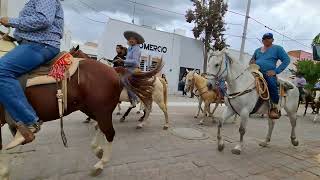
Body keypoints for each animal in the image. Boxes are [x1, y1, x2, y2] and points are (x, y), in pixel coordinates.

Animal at [0, 31, 162, 177]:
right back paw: (100, 146)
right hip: (93, 108)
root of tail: (115, 74)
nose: (67, 57)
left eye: (74, 52)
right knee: (106, 125)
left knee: (120, 124)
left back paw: (102, 162)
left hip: (106, 108)